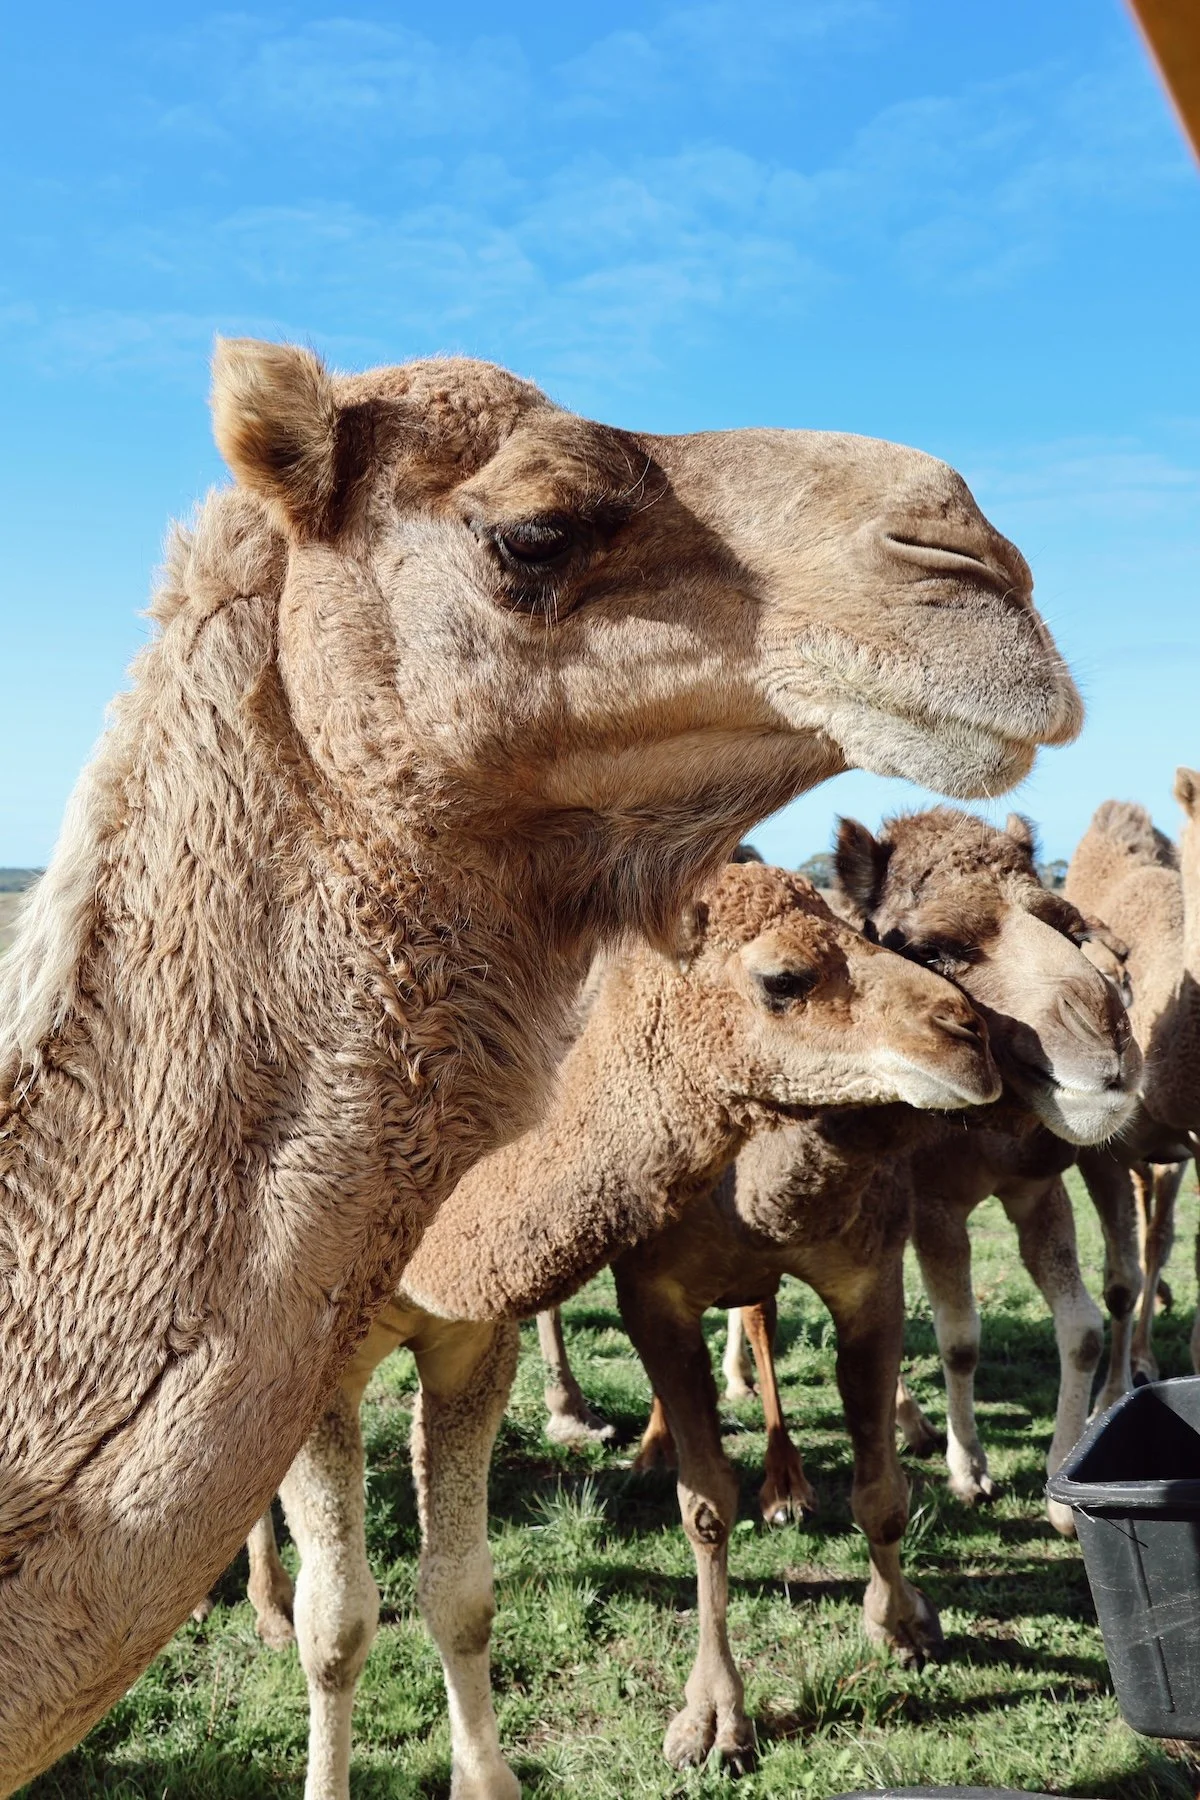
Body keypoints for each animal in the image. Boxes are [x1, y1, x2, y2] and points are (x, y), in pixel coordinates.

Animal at [235, 858, 999, 1797]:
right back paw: (264, 1605)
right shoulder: (314, 1364)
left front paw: (487, 1782)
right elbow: (338, 1625)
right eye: (784, 979)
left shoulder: (470, 1341)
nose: (971, 1034)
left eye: (863, 933)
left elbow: (460, 1593)